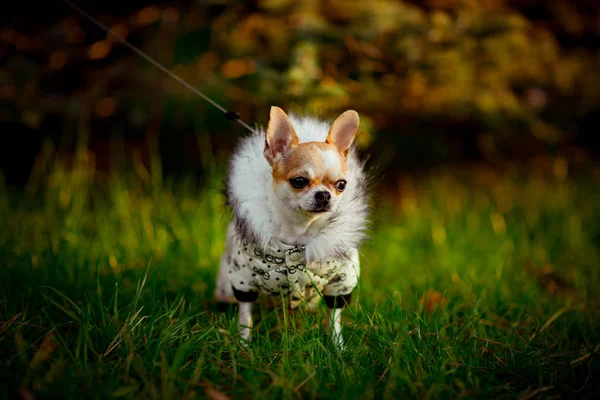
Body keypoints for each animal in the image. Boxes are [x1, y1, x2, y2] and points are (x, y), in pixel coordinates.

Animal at [213, 106, 368, 346]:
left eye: (341, 185)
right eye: (299, 181)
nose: (324, 195)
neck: (300, 233)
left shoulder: (340, 282)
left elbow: (334, 317)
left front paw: (337, 346)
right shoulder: (244, 280)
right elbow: (245, 315)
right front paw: (244, 344)